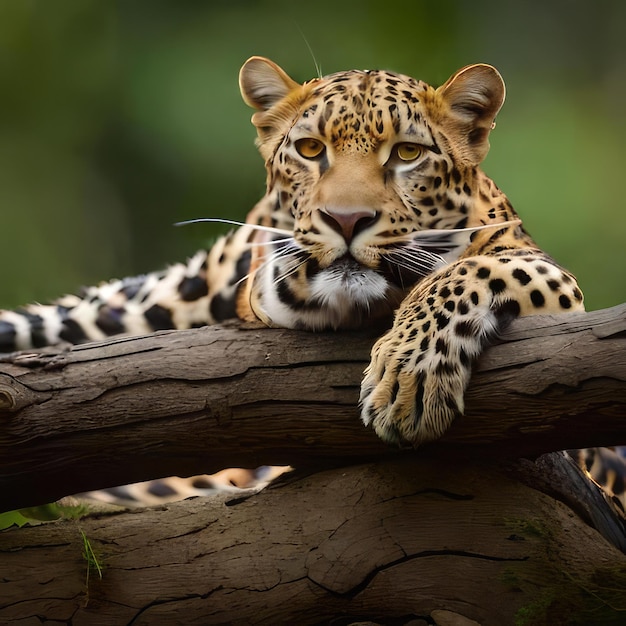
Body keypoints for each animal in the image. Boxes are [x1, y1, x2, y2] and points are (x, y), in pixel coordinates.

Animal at [1, 58, 600, 502]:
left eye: (407, 153)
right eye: (312, 150)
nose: (346, 220)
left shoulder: (550, 277)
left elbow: (464, 270)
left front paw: (408, 378)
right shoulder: (266, 291)